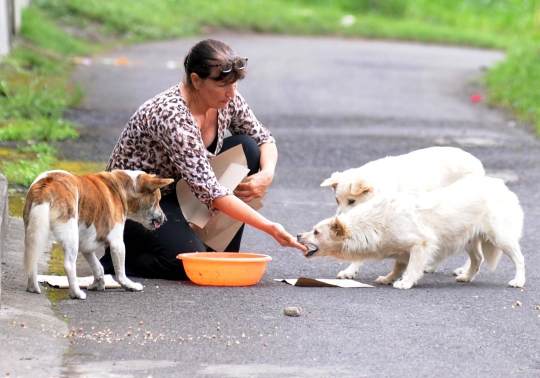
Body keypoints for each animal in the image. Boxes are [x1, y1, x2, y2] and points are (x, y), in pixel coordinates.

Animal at [21, 170, 171, 300]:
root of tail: (47, 183)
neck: (120, 187)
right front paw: (129, 285)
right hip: (71, 237)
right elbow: (120, 272)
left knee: (32, 258)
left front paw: (98, 284)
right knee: (69, 265)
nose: (165, 220)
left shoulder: (86, 245)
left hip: (35, 233)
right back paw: (76, 293)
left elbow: (98, 267)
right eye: (157, 200)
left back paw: (33, 287)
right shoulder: (117, 244)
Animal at [298, 176, 524, 290]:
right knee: (477, 259)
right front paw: (388, 278)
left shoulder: (421, 244)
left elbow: (413, 268)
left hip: (500, 237)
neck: (376, 224)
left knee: (519, 259)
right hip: (467, 239)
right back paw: (467, 277)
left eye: (316, 232)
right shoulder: (402, 251)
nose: (299, 236)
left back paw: (519, 281)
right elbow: (398, 267)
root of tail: (502, 186)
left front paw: (405, 283)